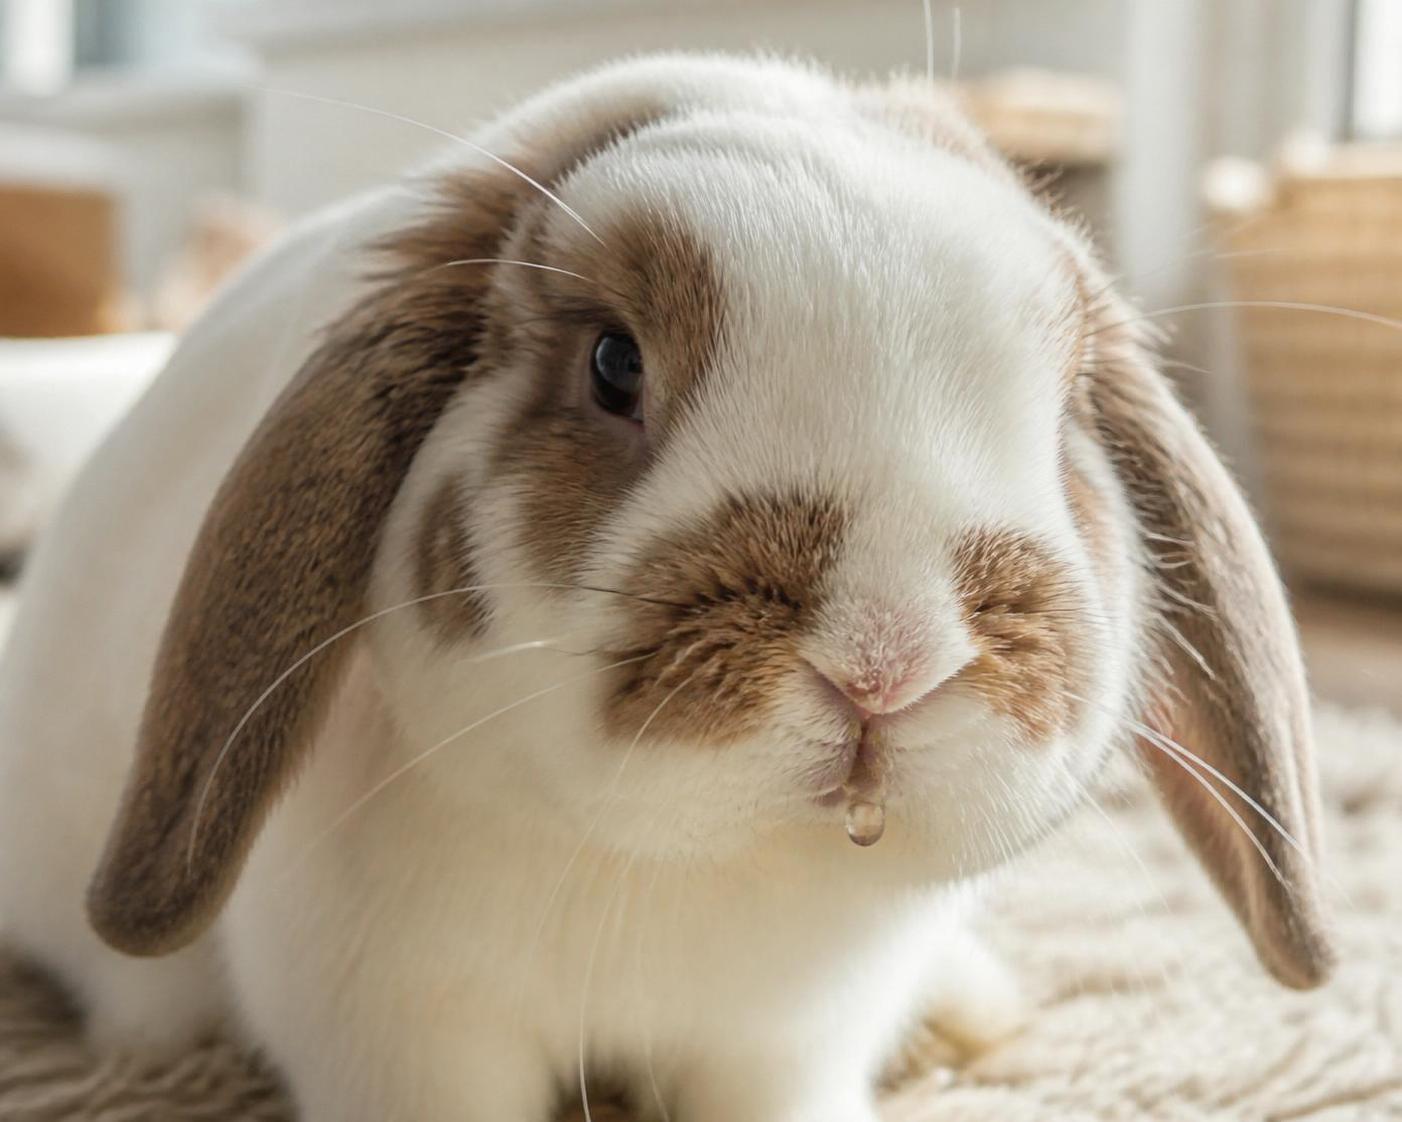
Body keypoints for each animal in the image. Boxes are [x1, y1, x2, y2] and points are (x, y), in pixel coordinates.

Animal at [0, 53, 1334, 1122]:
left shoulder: (784, 1046)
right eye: (612, 364)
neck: (683, 871)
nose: (889, 659)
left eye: (1060, 420)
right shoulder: (404, 1033)